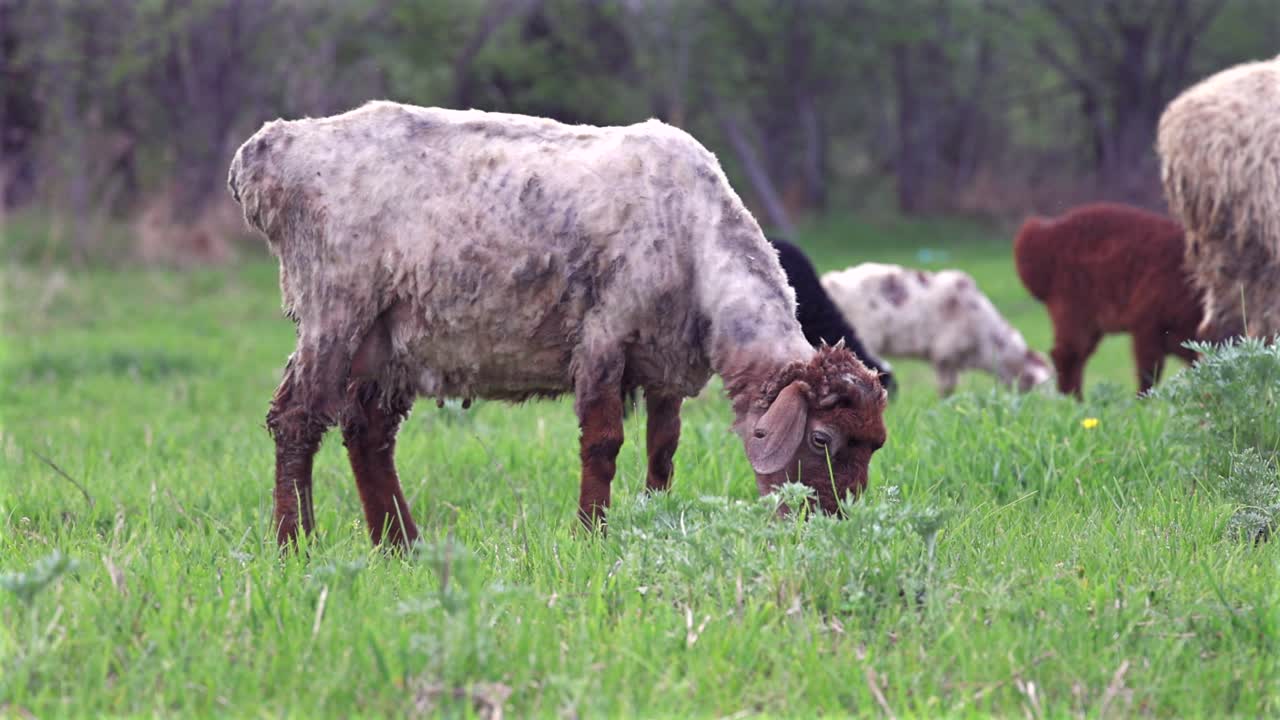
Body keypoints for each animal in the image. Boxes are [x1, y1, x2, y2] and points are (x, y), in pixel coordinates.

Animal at [1014, 203, 1203, 398]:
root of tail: (1041, 235)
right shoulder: (1147, 323)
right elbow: (1148, 373)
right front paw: (1143, 402)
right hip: (1071, 306)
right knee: (1067, 354)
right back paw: (1072, 400)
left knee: (1076, 356)